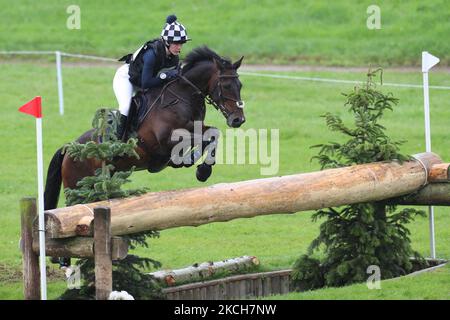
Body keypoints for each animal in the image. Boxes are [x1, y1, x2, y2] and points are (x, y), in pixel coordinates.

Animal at [44, 45, 244, 210]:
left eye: (240, 85)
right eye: (226, 86)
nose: (238, 120)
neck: (181, 97)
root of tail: (68, 149)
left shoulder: (196, 127)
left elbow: (213, 133)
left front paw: (201, 169)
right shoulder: (166, 141)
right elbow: (200, 139)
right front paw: (199, 168)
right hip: (78, 188)